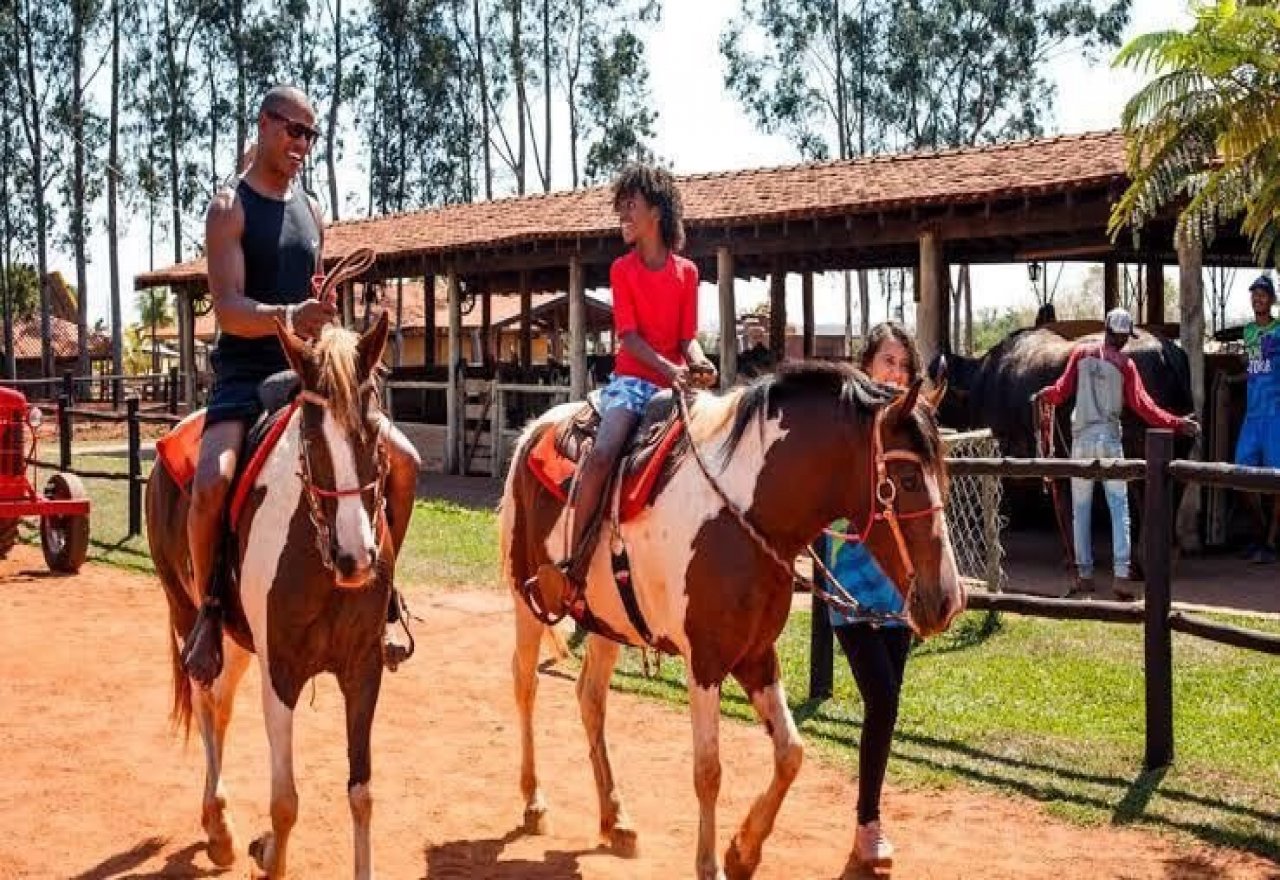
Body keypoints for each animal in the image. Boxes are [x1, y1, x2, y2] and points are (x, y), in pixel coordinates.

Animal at [147, 313, 395, 879]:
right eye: (311, 435)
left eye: (373, 429)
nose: (355, 559)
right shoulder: (280, 670)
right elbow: (285, 802)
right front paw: (269, 852)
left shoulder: (363, 669)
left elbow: (363, 794)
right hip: (188, 614)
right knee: (205, 699)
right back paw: (218, 830)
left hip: (240, 640)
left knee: (219, 705)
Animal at [499, 362, 965, 879]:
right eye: (906, 479)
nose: (947, 600)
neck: (745, 513)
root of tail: (533, 432)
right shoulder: (705, 661)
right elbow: (708, 770)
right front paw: (709, 863)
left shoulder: (756, 655)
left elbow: (791, 752)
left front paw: (743, 851)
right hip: (527, 599)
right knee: (525, 684)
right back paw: (534, 802)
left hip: (605, 622)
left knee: (591, 699)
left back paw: (616, 819)